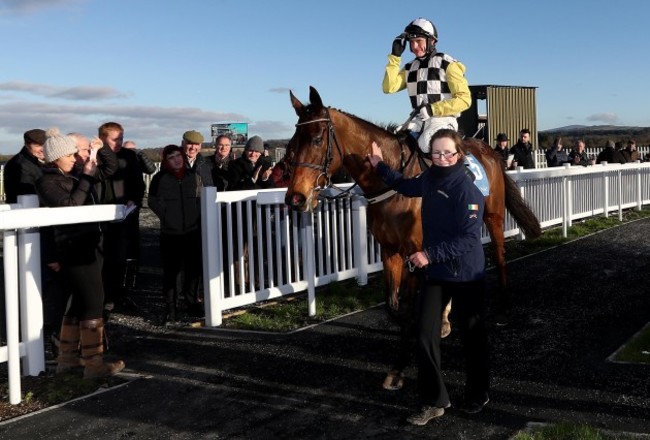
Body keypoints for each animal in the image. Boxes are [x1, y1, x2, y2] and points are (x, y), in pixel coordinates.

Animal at [284, 87, 540, 388]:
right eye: (292, 143)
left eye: (315, 139)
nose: (296, 198)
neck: (393, 182)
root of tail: (489, 150)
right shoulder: (390, 251)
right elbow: (393, 306)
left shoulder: (416, 251)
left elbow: (407, 307)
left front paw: (401, 365)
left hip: (494, 215)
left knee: (499, 256)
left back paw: (504, 307)